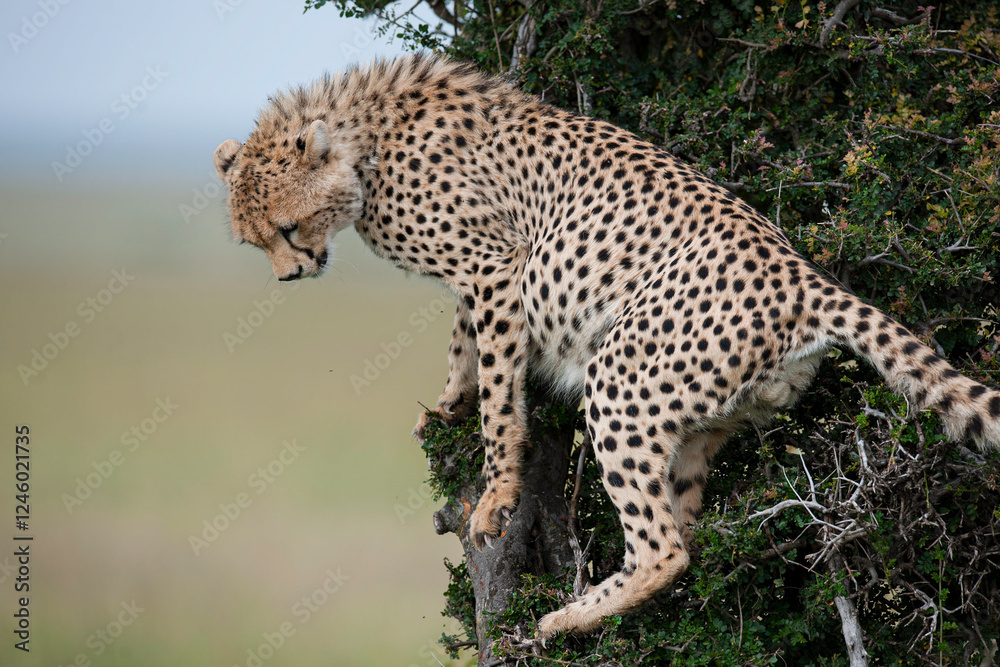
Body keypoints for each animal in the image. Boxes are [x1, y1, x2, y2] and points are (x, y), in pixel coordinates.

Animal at [213, 53, 1000, 638]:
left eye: (287, 228)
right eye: (254, 241)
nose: (288, 276)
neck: (365, 140)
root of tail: (804, 278)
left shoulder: (497, 266)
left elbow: (500, 389)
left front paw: (495, 492)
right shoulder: (481, 277)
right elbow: (463, 347)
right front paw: (446, 404)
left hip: (621, 374)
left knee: (661, 546)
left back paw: (565, 618)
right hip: (705, 414)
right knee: (681, 529)